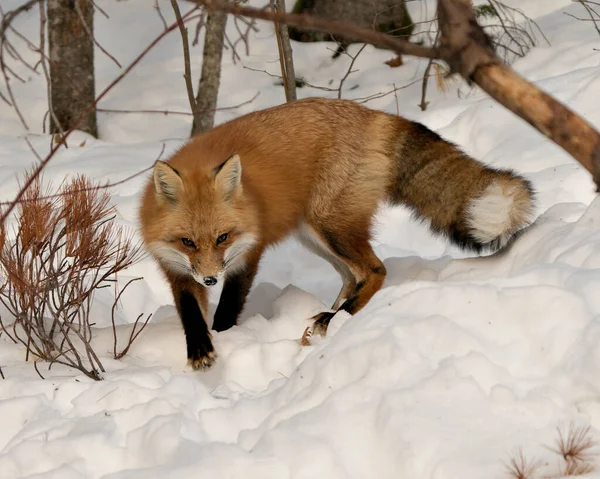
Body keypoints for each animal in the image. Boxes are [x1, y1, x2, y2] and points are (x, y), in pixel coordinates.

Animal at [139, 95, 536, 370]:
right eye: (188, 242)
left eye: (223, 238)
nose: (209, 280)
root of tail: (373, 114)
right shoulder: (176, 267)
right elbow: (190, 310)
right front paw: (200, 350)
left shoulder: (247, 254)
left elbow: (227, 309)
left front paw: (225, 339)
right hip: (315, 235)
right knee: (351, 276)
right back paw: (330, 316)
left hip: (330, 226)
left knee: (375, 271)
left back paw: (337, 318)